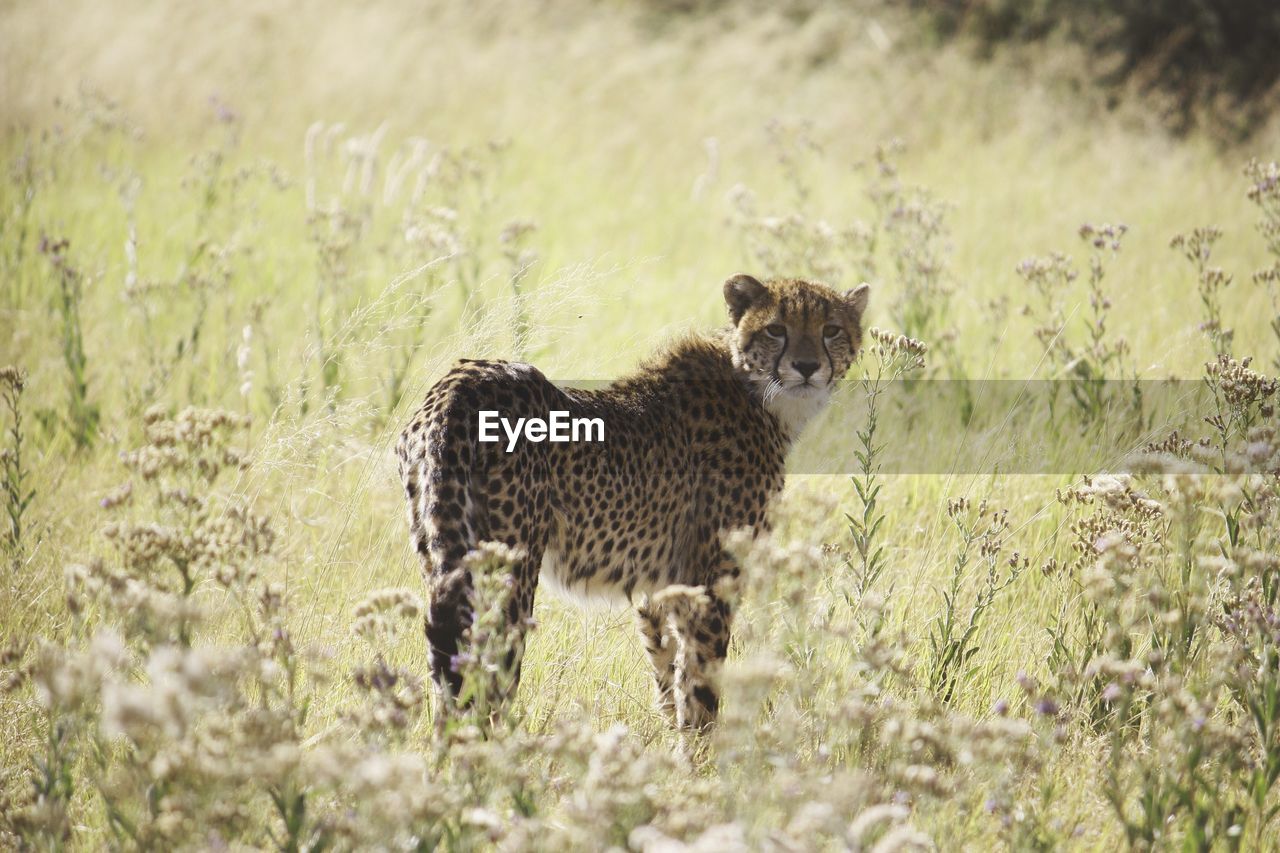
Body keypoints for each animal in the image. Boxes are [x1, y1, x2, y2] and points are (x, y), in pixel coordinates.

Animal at [394, 275, 865, 727]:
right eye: (775, 329)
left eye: (831, 329)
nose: (807, 367)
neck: (758, 392)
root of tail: (458, 384)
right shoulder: (709, 587)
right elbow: (700, 690)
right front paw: (703, 754)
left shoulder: (661, 586)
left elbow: (670, 679)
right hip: (508, 572)